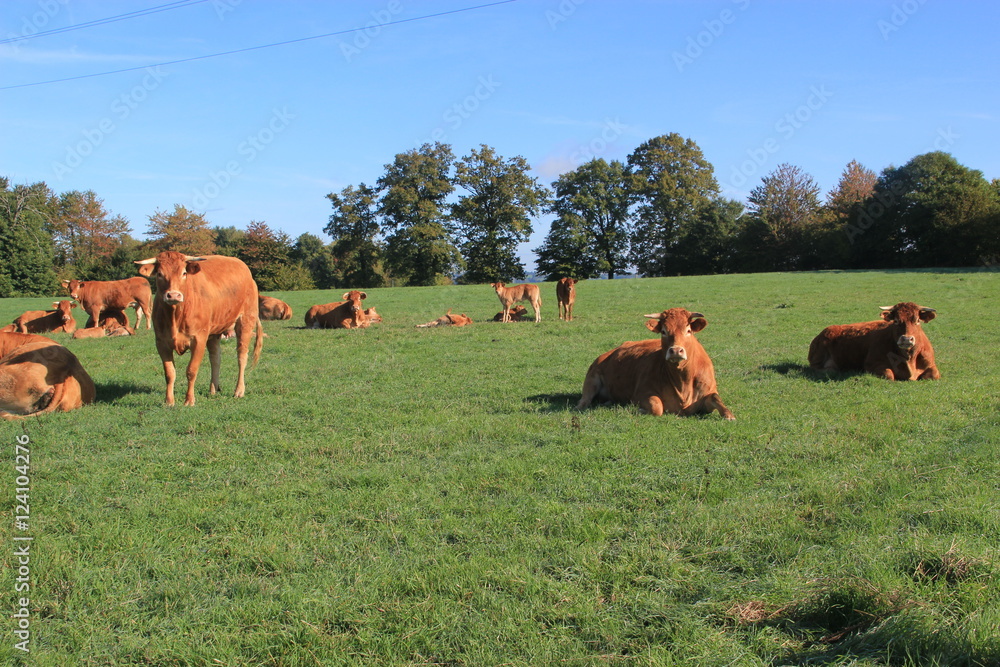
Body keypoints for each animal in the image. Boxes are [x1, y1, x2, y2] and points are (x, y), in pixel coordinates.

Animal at [135, 251, 263, 407]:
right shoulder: (161, 342)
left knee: (242, 356)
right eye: (159, 274)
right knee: (215, 357)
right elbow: (169, 373)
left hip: (245, 322)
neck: (176, 316)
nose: (173, 295)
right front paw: (169, 401)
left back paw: (239, 391)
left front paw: (189, 400)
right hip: (214, 331)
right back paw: (213, 388)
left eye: (184, 273)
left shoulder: (198, 340)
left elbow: (191, 370)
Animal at [577, 308, 735, 419]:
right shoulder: (642, 393)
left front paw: (729, 415)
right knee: (585, 400)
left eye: (688, 330)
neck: (683, 381)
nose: (676, 350)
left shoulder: (707, 392)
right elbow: (656, 407)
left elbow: (715, 398)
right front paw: (637, 409)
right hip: (591, 379)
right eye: (663, 331)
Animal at [808, 302, 940, 381]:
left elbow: (935, 374)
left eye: (917, 320)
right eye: (896, 320)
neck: (909, 359)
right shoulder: (871, 364)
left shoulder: (931, 365)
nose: (907, 339)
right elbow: (889, 374)